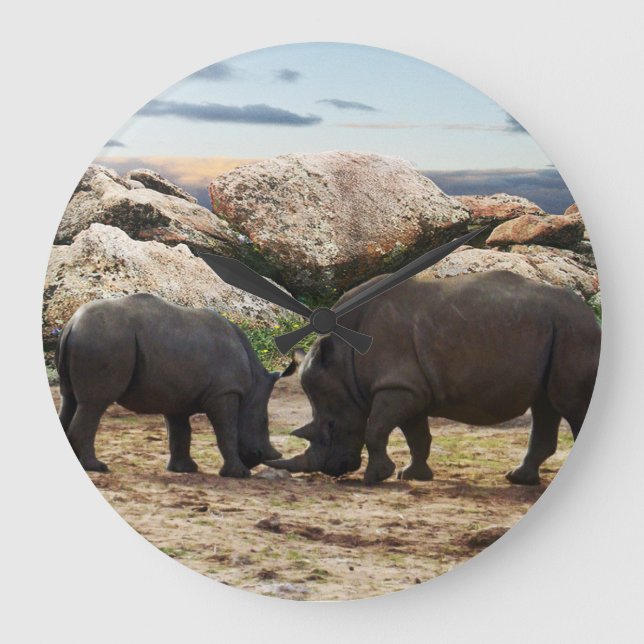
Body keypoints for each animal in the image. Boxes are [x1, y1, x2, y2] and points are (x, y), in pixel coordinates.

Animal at [55, 293, 295, 477]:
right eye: (264, 421)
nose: (257, 459)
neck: (253, 385)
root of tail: (72, 324)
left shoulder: (176, 395)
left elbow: (180, 433)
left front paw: (184, 470)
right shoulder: (224, 392)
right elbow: (226, 430)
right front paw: (238, 474)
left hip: (93, 338)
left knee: (70, 400)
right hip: (104, 338)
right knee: (94, 404)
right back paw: (97, 467)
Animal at [268, 271, 601, 485]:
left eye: (332, 425)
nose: (333, 470)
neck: (342, 361)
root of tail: (589, 313)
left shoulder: (397, 387)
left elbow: (376, 429)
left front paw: (375, 477)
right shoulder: (410, 388)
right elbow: (417, 436)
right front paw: (411, 475)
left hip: (575, 331)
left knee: (570, 404)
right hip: (558, 332)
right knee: (545, 404)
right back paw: (518, 479)